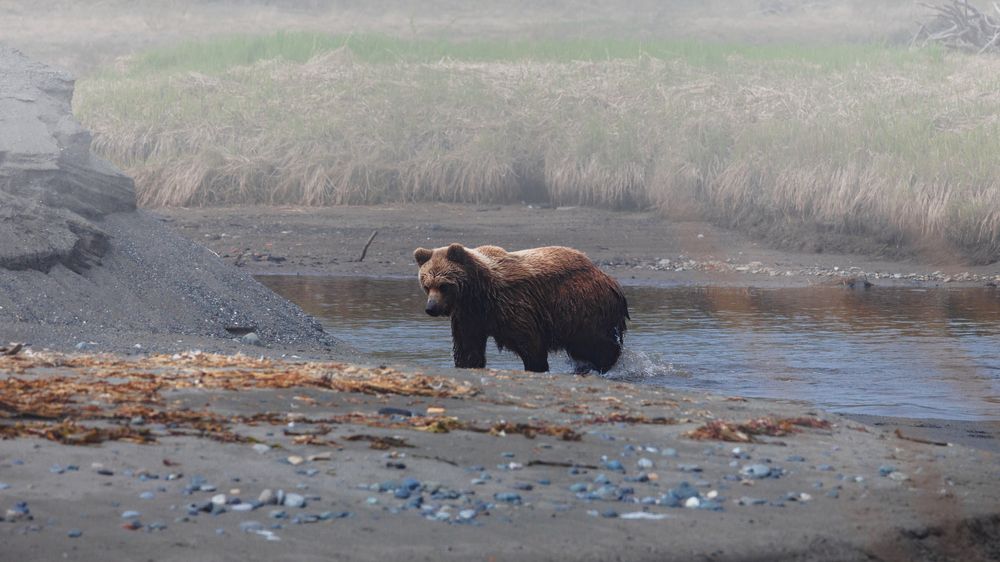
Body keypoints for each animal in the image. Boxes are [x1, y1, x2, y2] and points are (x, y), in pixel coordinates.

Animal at [413, 243, 629, 373]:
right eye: (426, 285)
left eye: (444, 285)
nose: (431, 308)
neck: (478, 293)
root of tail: (606, 276)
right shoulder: (469, 316)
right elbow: (468, 348)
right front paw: (466, 365)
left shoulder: (513, 306)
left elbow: (530, 344)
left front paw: (536, 367)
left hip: (581, 305)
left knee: (596, 343)